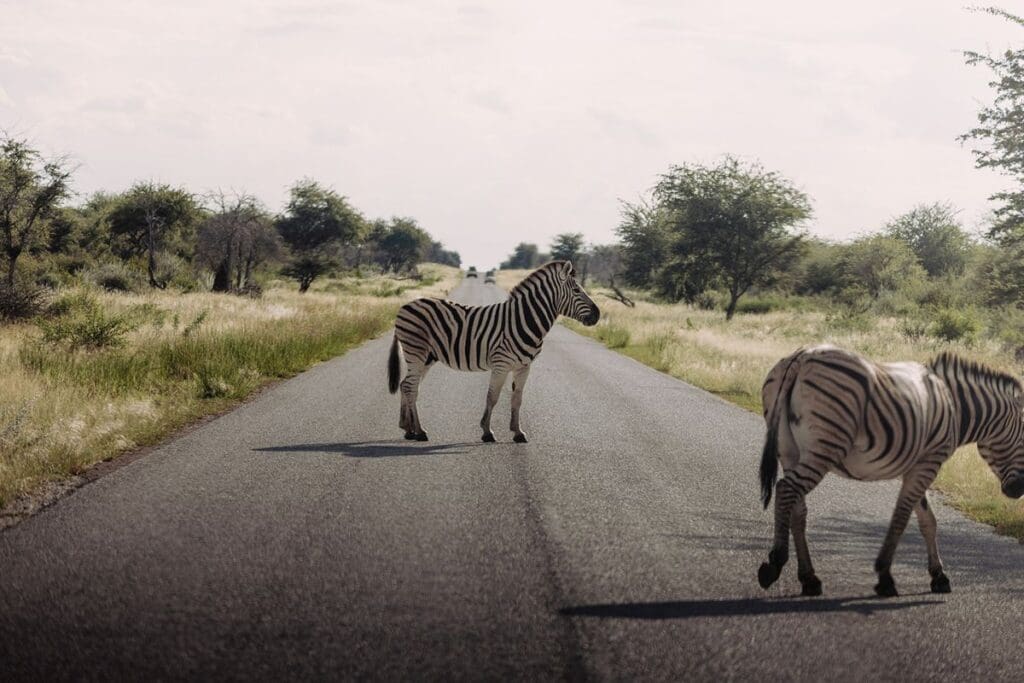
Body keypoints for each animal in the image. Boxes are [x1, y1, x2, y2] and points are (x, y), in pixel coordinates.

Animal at [387, 260, 600, 443]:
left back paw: (408, 429)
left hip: (427, 358)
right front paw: (487, 432)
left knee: (406, 385)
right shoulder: (501, 364)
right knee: (411, 388)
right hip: (416, 352)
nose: (598, 315)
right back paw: (420, 431)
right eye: (577, 290)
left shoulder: (524, 367)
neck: (524, 320)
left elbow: (517, 399)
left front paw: (518, 432)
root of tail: (404, 306)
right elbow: (493, 397)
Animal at [757, 344, 1024, 598]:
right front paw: (885, 576)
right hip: (825, 446)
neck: (955, 407)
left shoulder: (918, 465)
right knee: (785, 489)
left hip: (790, 451)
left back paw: (809, 579)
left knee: (797, 507)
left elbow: (928, 520)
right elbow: (901, 517)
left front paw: (938, 575)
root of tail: (802, 356)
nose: (1018, 491)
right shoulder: (929, 463)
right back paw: (775, 563)